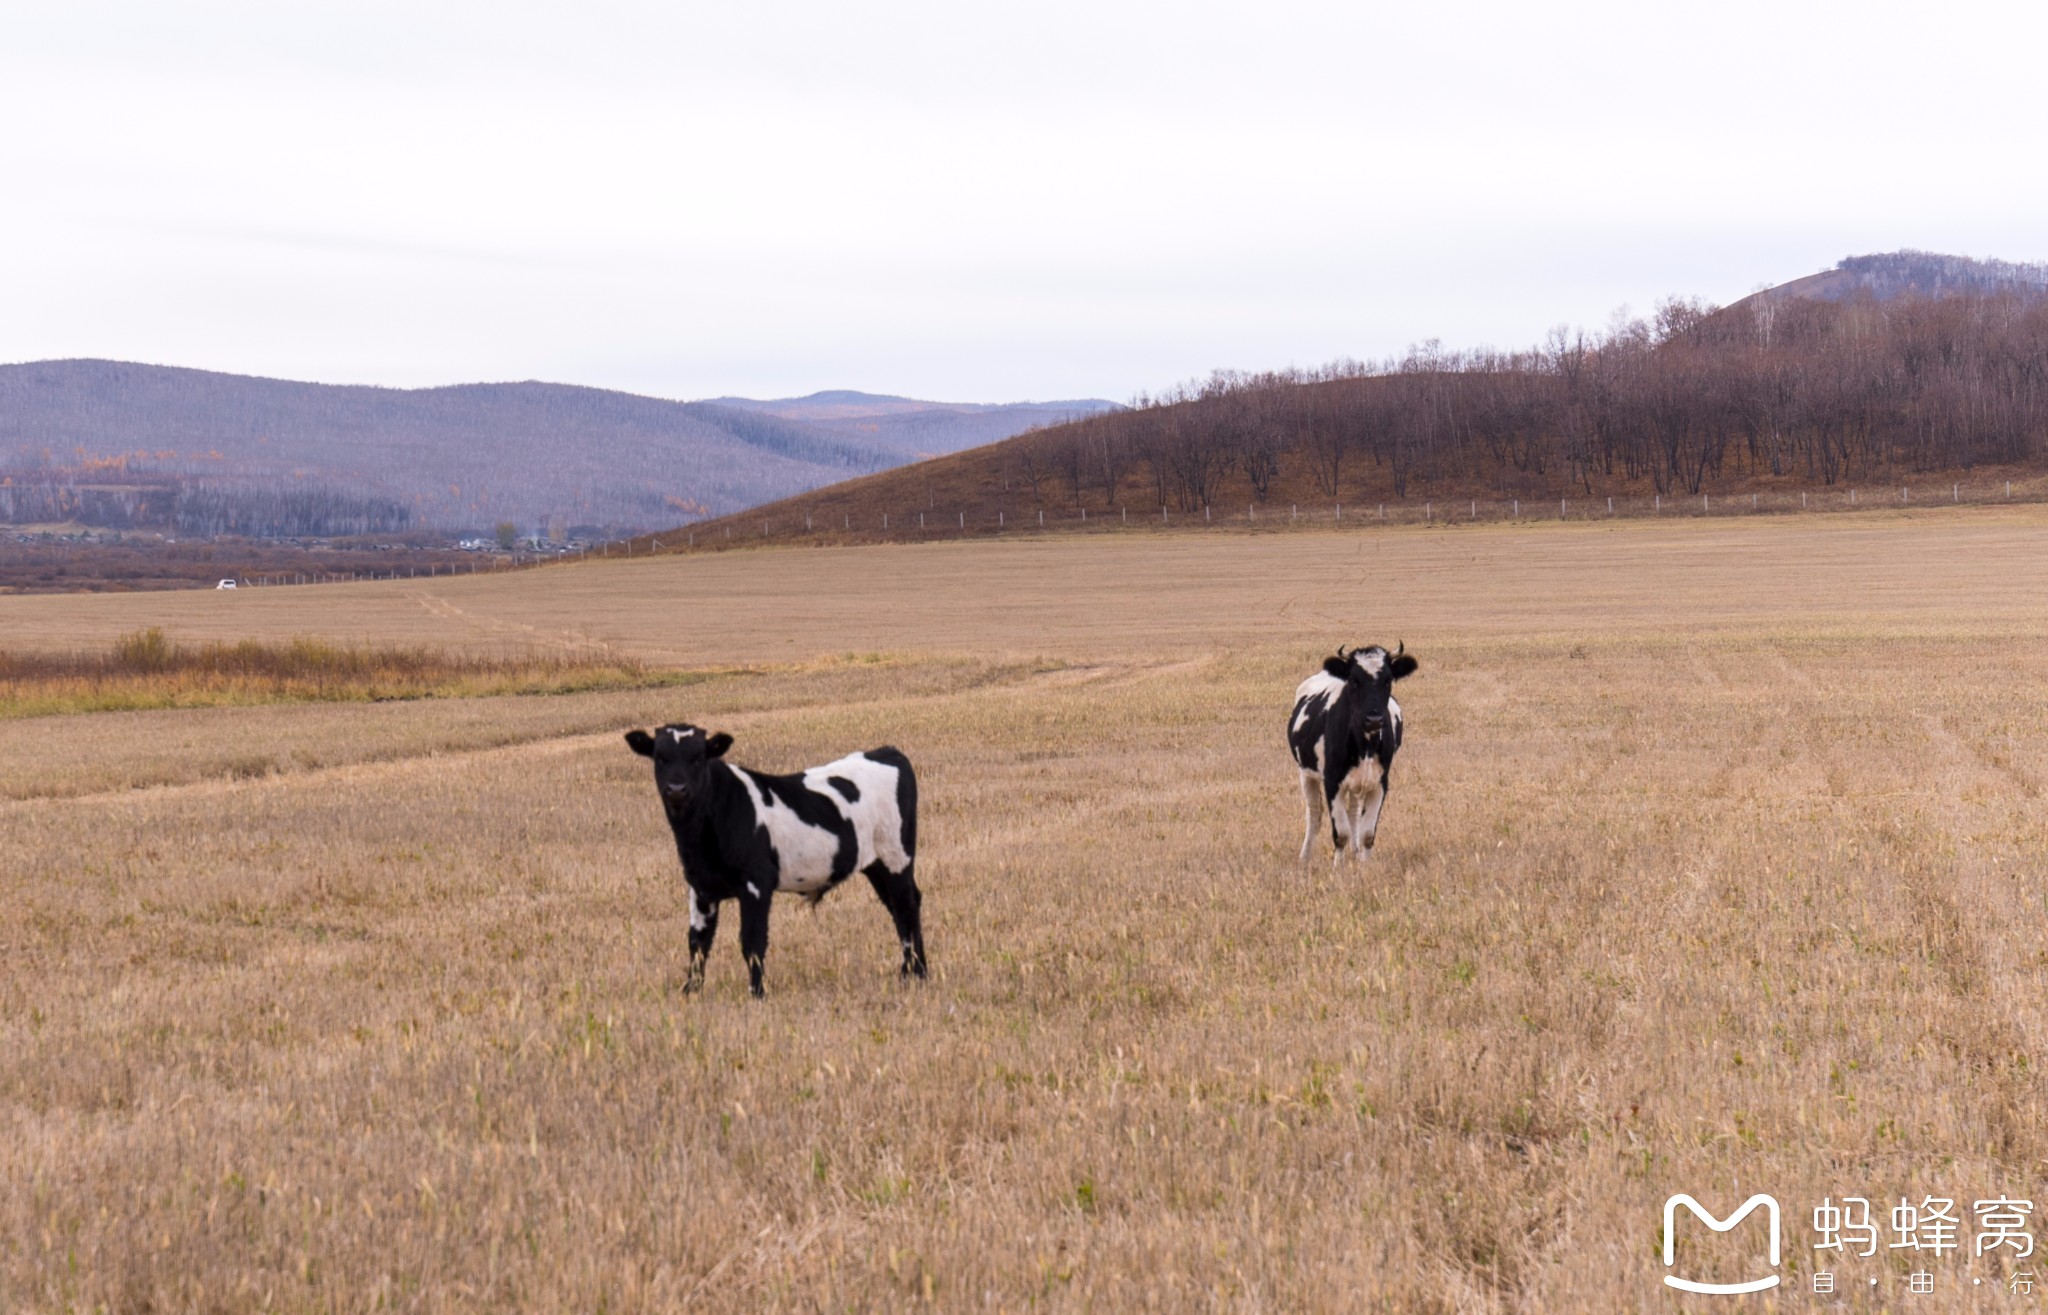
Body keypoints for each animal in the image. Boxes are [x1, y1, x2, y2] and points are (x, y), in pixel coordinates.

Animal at [614, 716, 921, 991]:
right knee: (898, 908)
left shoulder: (757, 882)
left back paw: (917, 975)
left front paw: (758, 993)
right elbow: (698, 943)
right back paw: (910, 973)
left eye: (698, 757)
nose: (676, 789)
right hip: (876, 865)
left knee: (906, 906)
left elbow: (752, 941)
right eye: (660, 757)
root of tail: (887, 751)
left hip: (896, 856)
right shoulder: (700, 888)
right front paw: (691, 992)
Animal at [1286, 643, 1417, 860]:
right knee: (1314, 815)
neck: (1365, 746)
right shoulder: (1332, 782)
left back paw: (1355, 853)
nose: (1374, 719)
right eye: (1354, 681)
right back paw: (1304, 857)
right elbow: (1340, 834)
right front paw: (1338, 866)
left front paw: (1364, 865)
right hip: (1306, 774)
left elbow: (1367, 834)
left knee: (1353, 813)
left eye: (1388, 680)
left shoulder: (1380, 782)